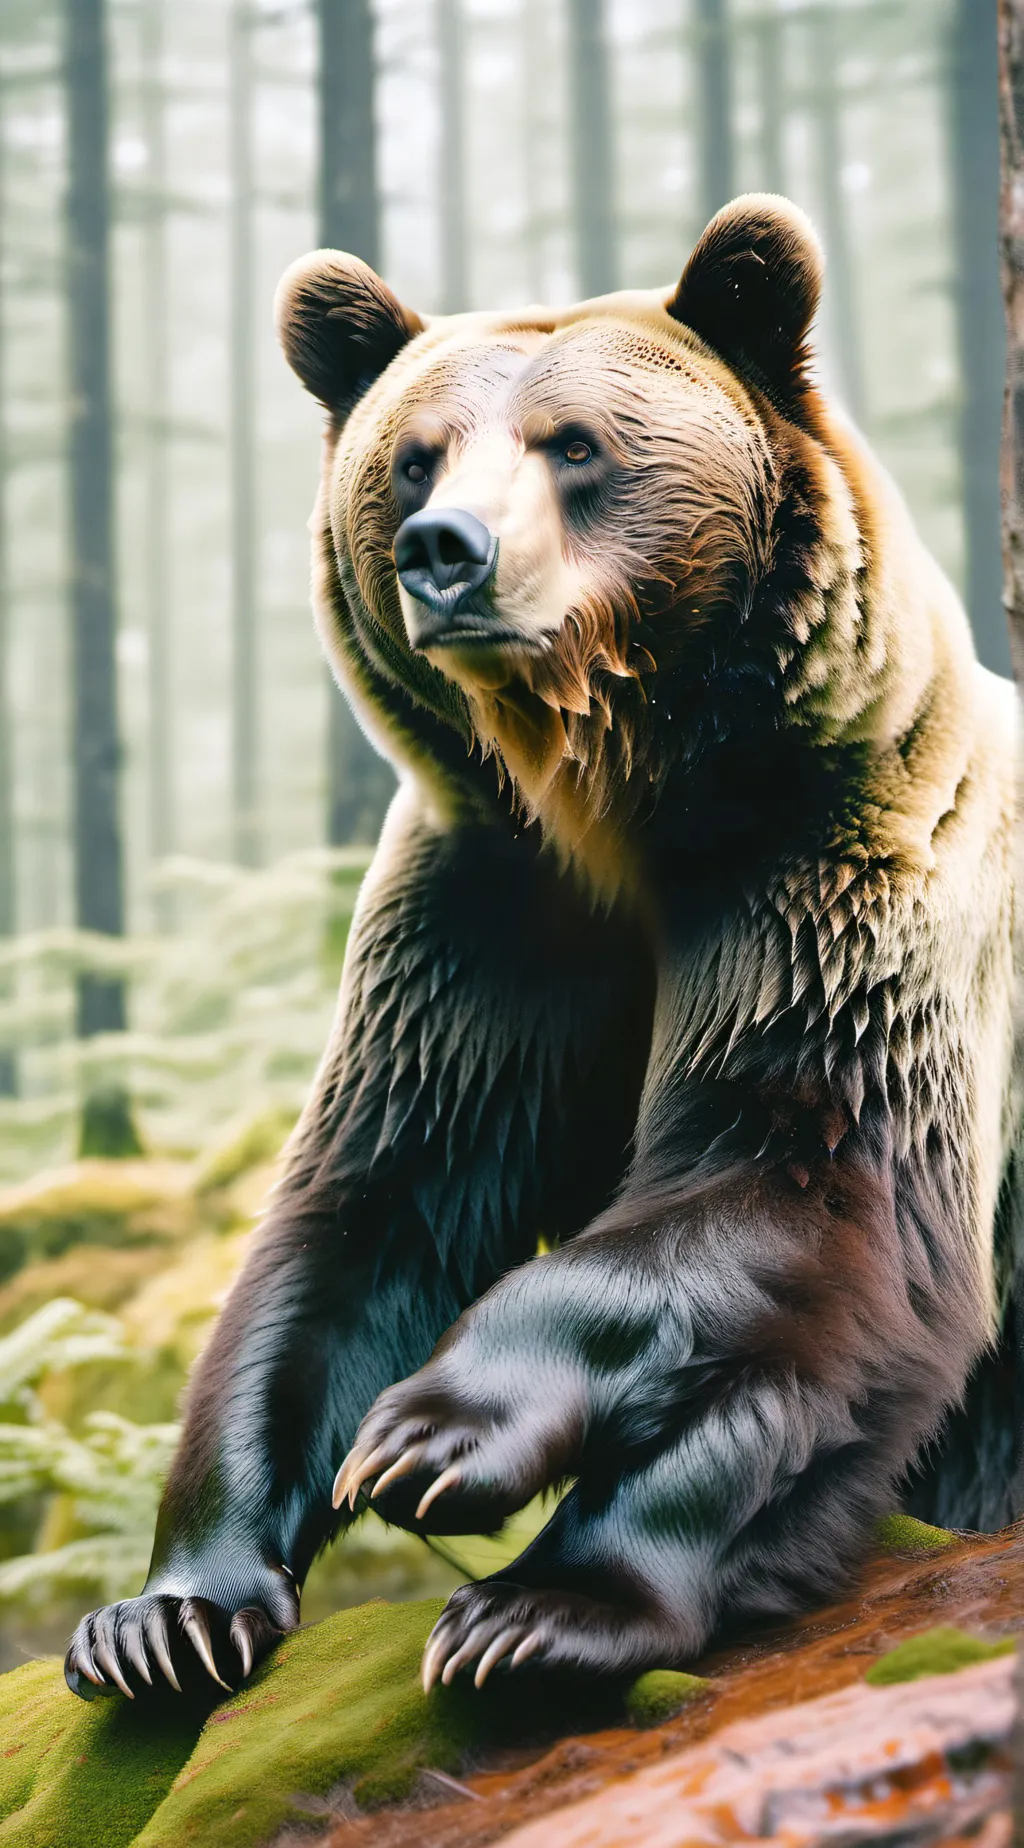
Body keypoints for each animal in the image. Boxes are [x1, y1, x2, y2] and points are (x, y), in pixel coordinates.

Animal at [65, 194, 1023, 1702]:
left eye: (575, 444)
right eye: (412, 455)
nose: (443, 548)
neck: (617, 797)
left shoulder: (837, 872)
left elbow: (794, 1177)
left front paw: (446, 1458)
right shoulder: (486, 921)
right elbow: (368, 1207)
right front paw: (169, 1613)